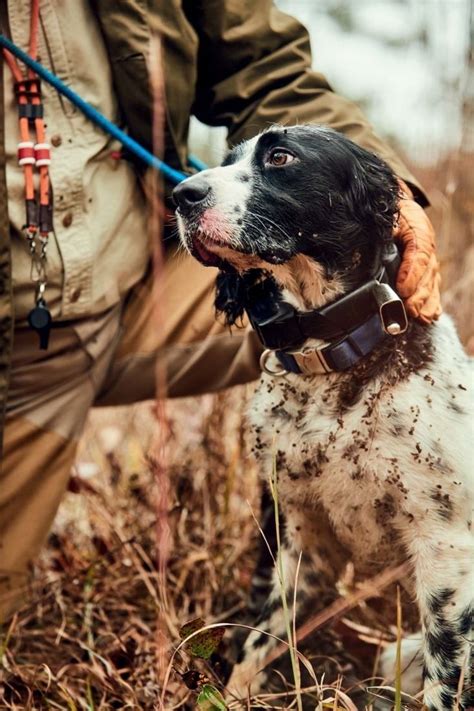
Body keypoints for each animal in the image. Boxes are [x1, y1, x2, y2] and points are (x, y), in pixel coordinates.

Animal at [173, 125, 470, 708]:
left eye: (280, 157)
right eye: (228, 158)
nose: (180, 194)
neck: (332, 360)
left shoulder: (446, 552)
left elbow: (443, 679)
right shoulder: (296, 528)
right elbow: (260, 641)